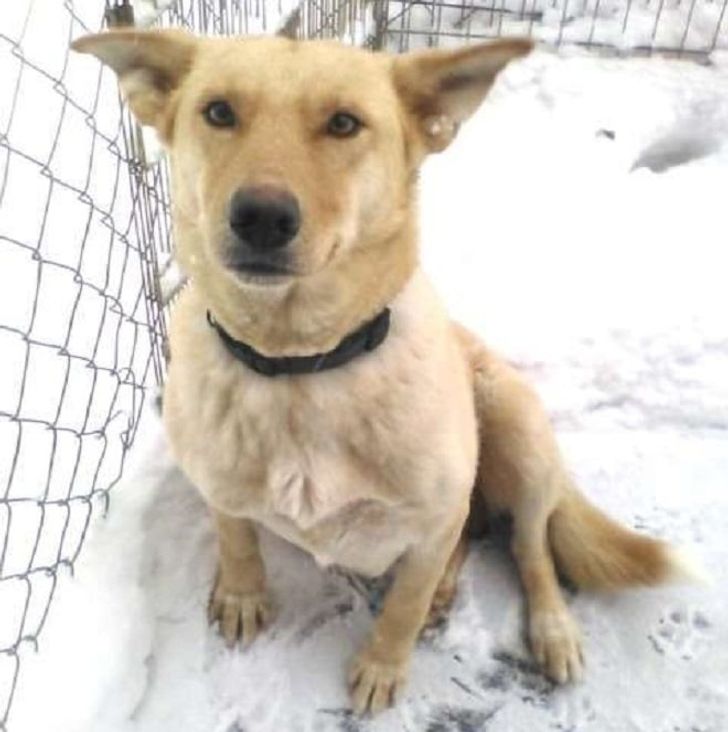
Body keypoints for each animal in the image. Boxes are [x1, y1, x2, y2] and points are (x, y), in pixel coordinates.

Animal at [71, 30, 696, 716]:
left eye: (345, 123)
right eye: (218, 112)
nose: (260, 216)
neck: (298, 366)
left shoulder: (434, 522)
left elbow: (403, 604)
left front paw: (382, 667)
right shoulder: (220, 486)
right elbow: (235, 537)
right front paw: (242, 594)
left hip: (515, 428)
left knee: (529, 544)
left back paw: (551, 629)